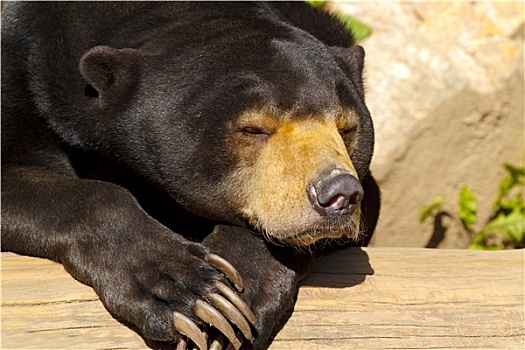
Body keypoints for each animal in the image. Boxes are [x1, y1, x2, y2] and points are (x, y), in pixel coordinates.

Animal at [0, 1, 378, 348]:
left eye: (346, 128)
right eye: (253, 129)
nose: (339, 194)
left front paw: (231, 302)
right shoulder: (19, 67)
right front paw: (187, 291)